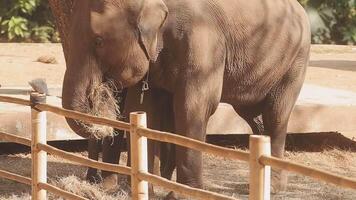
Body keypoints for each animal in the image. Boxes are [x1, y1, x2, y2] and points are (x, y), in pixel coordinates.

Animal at [62, 0, 312, 197]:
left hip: (296, 61)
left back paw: (273, 188)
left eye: (98, 41)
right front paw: (142, 190)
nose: (98, 97)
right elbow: (145, 109)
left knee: (275, 116)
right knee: (255, 117)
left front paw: (181, 195)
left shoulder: (202, 42)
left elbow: (192, 107)